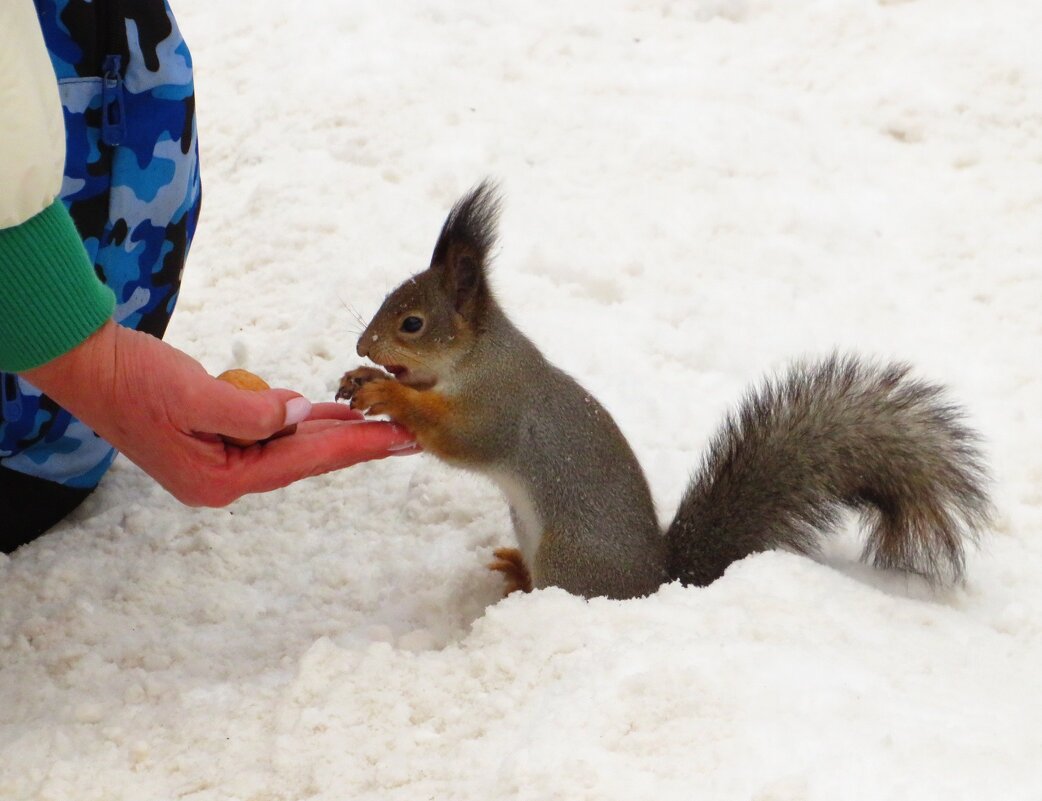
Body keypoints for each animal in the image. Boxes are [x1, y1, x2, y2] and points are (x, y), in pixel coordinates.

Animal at [335, 181, 991, 599]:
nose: (365, 346)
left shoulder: (499, 405)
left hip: (570, 555)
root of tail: (658, 582)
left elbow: (459, 437)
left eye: (412, 323)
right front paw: (359, 381)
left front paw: (388, 395)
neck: (475, 356)